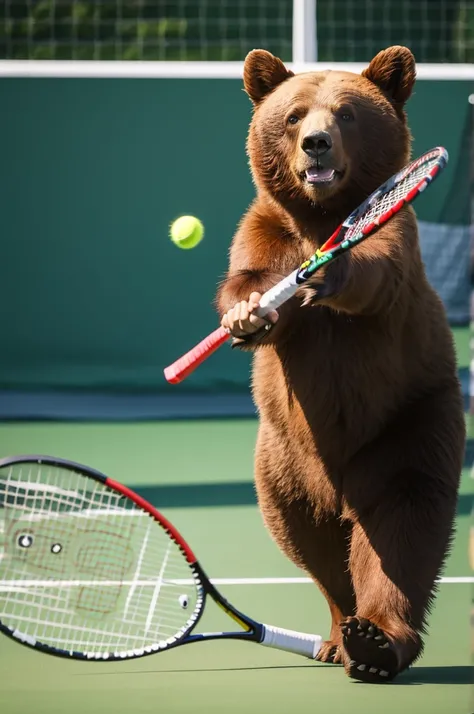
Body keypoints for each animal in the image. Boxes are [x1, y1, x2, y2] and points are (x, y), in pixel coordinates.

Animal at [217, 47, 464, 680]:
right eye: (294, 115)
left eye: (347, 114)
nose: (317, 143)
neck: (320, 221)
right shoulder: (264, 232)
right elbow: (250, 280)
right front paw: (246, 314)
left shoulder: (394, 235)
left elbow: (372, 275)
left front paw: (326, 274)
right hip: (284, 460)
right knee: (308, 537)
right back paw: (339, 633)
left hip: (408, 423)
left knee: (401, 522)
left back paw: (378, 640)